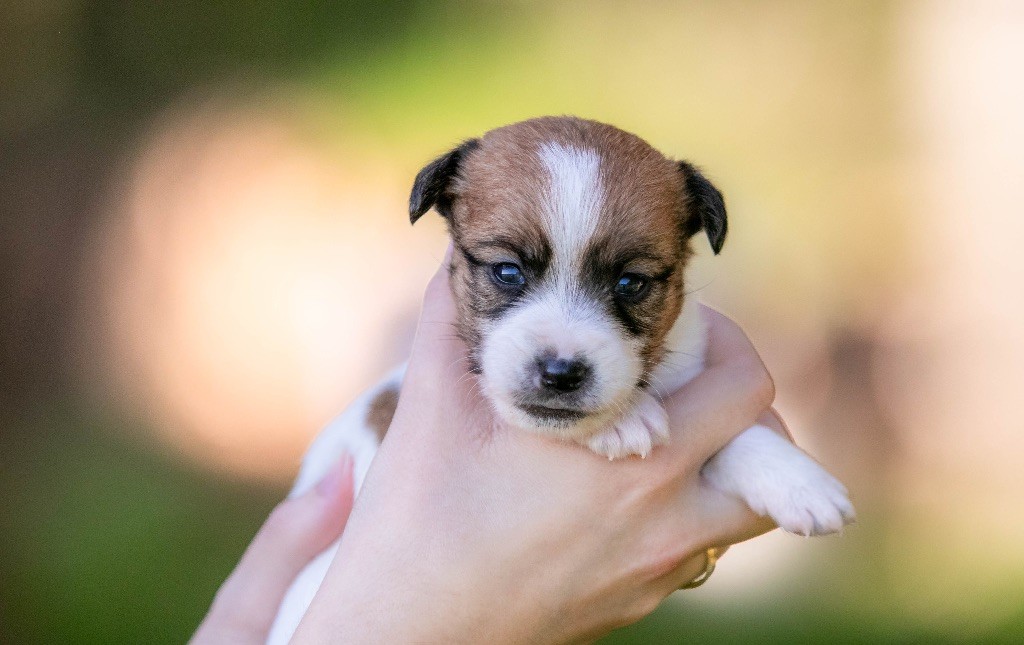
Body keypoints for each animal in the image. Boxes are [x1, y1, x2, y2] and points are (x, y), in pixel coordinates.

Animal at [266, 117, 856, 645]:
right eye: (507, 272)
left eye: (631, 283)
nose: (560, 372)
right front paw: (623, 420)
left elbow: (737, 437)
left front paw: (800, 480)